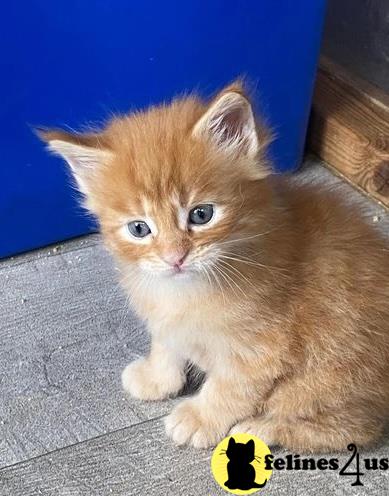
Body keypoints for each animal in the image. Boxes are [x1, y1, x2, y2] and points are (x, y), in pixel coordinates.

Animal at [39, 82, 388, 454]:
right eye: (139, 229)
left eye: (201, 214)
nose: (174, 257)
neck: (184, 290)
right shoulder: (167, 320)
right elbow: (166, 345)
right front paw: (158, 377)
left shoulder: (262, 348)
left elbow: (230, 387)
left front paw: (199, 418)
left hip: (323, 381)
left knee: (352, 429)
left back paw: (259, 428)